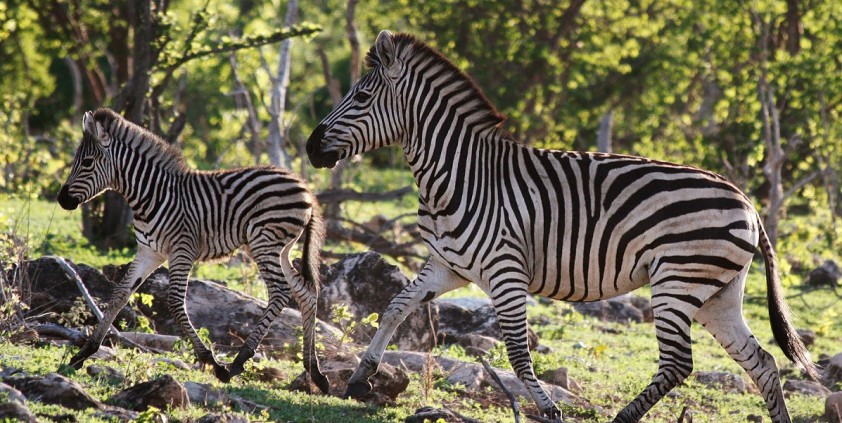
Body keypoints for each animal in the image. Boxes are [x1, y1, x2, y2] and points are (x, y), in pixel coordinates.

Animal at [57, 108, 329, 392]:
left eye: (87, 162)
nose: (61, 199)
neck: (150, 195)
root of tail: (303, 186)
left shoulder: (182, 249)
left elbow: (175, 302)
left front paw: (212, 362)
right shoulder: (148, 252)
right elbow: (120, 294)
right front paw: (84, 353)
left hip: (264, 242)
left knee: (279, 292)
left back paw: (238, 362)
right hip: (281, 249)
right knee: (305, 293)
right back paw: (315, 372)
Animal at [305, 31, 818, 422]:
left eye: (361, 97)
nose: (311, 148)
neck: (460, 174)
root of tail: (748, 203)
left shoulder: (506, 271)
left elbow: (517, 351)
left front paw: (549, 410)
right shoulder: (447, 266)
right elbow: (394, 307)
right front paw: (360, 378)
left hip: (678, 280)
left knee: (678, 364)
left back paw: (622, 419)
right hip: (717, 293)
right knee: (762, 362)